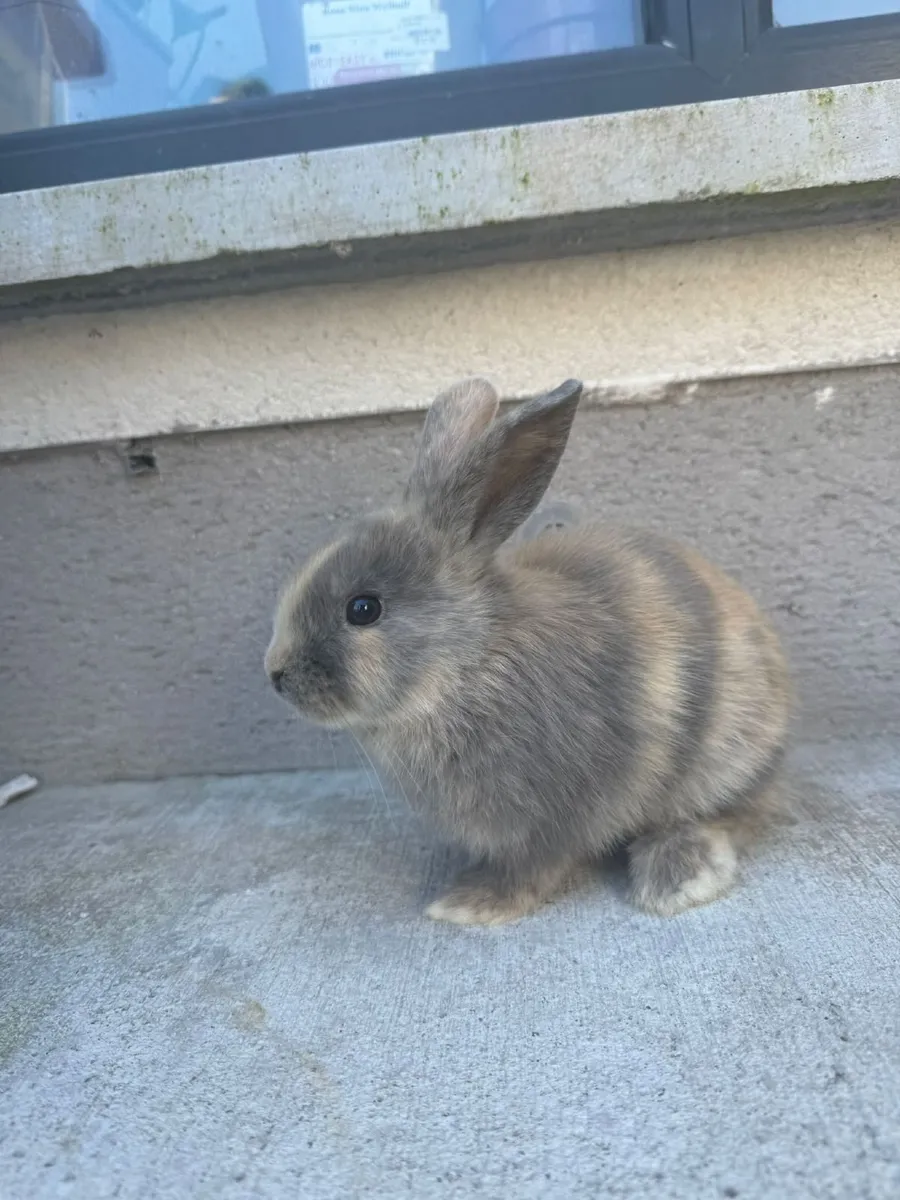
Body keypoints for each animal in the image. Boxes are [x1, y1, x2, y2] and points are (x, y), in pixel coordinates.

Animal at [265, 377, 792, 926]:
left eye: (363, 609)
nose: (275, 674)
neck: (468, 665)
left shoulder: (559, 813)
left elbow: (535, 865)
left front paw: (470, 904)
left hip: (728, 759)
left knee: (734, 815)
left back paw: (678, 875)